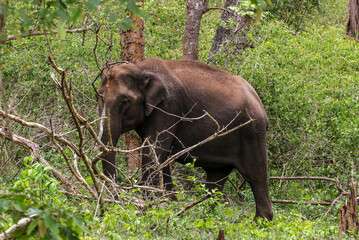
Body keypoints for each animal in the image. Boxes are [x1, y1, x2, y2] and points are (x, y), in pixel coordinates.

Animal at [97, 57, 274, 220]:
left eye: (125, 101)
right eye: (99, 96)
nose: (116, 201)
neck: (141, 67)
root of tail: (259, 101)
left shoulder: (168, 107)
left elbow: (153, 151)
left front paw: (150, 207)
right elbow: (162, 157)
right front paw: (170, 204)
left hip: (252, 132)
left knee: (255, 175)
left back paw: (260, 222)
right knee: (215, 180)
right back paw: (207, 216)